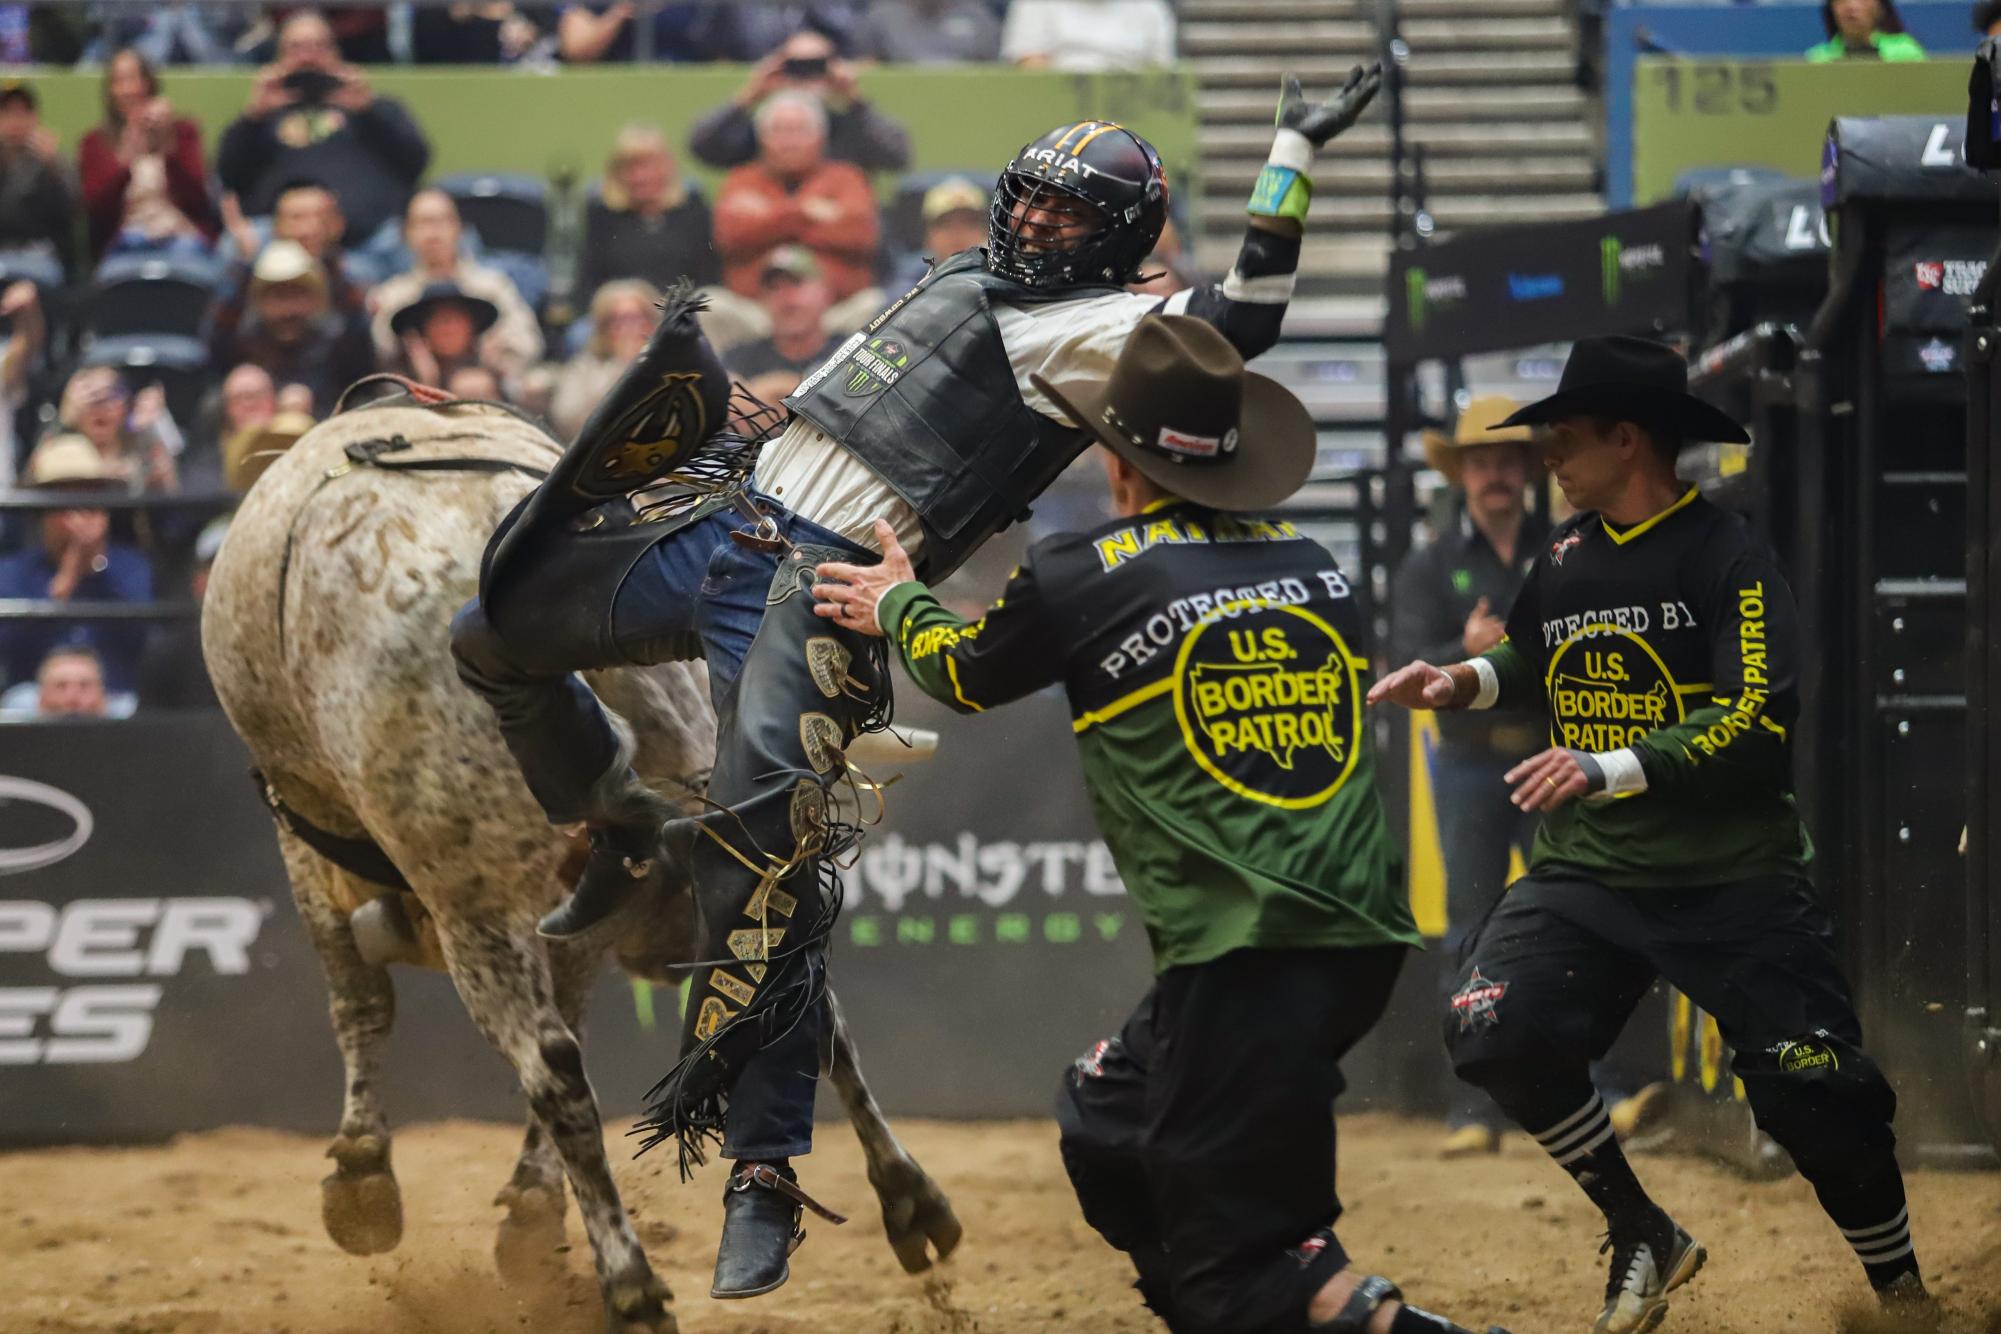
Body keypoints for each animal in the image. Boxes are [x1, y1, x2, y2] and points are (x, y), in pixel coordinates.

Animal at [203, 392, 960, 1328]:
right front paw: (528, 1207)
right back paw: (909, 1199)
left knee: (551, 1065)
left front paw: (361, 1179)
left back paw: (630, 1283)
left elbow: (362, 1003)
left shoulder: (318, 844)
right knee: (795, 995)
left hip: (469, 902)